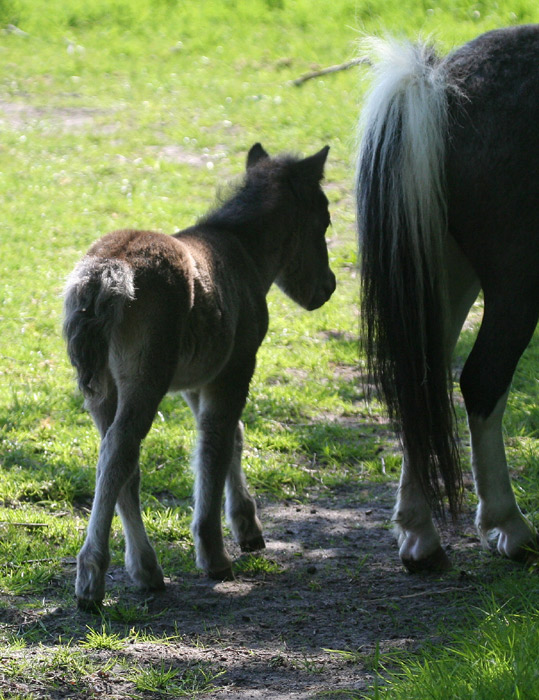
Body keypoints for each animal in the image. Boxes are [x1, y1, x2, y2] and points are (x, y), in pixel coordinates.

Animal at [63, 144, 334, 608]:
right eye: (325, 219)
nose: (329, 287)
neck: (244, 252)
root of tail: (106, 271)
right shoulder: (238, 366)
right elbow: (214, 445)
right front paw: (213, 553)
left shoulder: (197, 380)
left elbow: (232, 437)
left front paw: (247, 527)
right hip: (145, 380)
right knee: (119, 452)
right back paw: (92, 578)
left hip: (102, 390)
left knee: (118, 462)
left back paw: (146, 570)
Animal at [356, 24, 536, 572]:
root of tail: (437, 86)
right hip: (514, 285)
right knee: (482, 381)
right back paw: (510, 526)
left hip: (444, 272)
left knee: (421, 378)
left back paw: (419, 535)